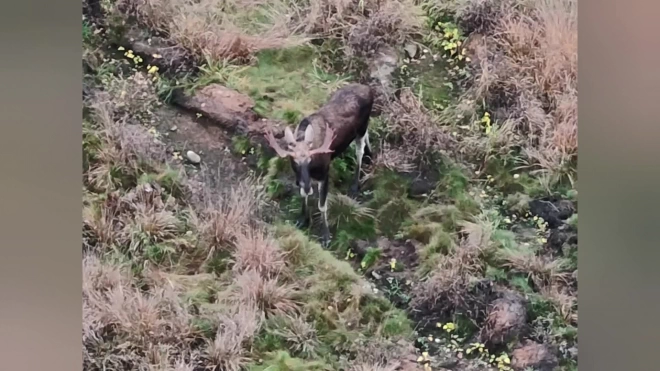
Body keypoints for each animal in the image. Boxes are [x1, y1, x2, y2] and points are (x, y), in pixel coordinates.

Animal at [264, 83, 376, 248]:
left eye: (310, 159)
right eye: (293, 160)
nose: (306, 186)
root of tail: (368, 88)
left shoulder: (324, 174)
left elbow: (322, 205)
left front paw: (326, 236)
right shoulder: (301, 178)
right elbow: (303, 195)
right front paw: (303, 219)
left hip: (362, 126)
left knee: (359, 151)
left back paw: (355, 185)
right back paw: (370, 153)